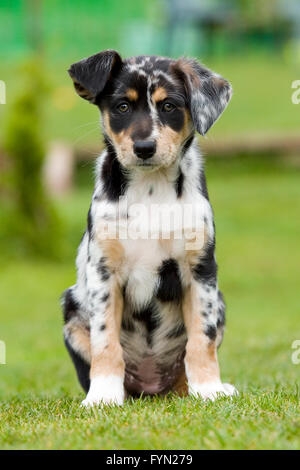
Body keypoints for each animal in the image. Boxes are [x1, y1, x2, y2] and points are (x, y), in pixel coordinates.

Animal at [62, 49, 238, 406]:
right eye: (122, 107)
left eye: (168, 106)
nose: (144, 148)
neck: (151, 190)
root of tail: (152, 389)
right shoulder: (103, 271)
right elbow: (106, 341)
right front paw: (103, 396)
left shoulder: (200, 270)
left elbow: (202, 338)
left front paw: (209, 389)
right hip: (71, 309)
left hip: (221, 302)